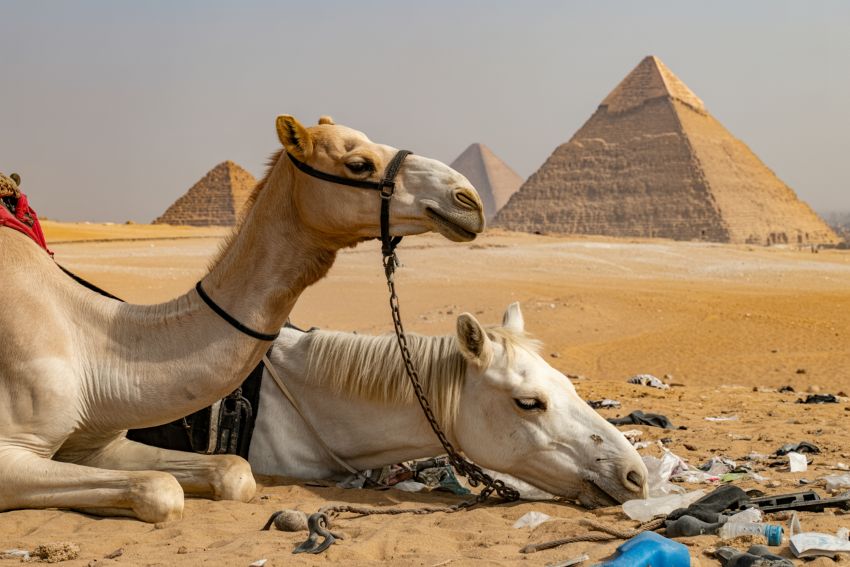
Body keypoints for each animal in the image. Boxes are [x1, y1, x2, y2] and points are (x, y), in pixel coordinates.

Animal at [0, 115, 485, 522]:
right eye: (359, 164)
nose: (468, 198)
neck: (94, 346)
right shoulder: (12, 452)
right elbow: (160, 489)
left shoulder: (102, 441)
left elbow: (233, 471)